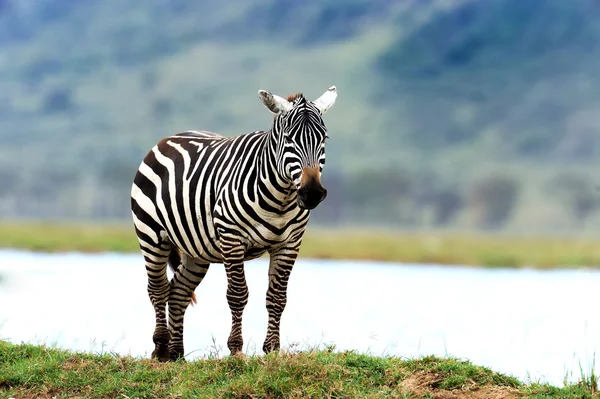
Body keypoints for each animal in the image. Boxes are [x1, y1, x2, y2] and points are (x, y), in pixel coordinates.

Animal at [132, 86, 338, 360]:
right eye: (289, 139)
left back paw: (177, 354)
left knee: (178, 292)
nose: (312, 193)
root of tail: (168, 138)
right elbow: (238, 295)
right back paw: (160, 348)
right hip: (152, 235)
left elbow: (277, 298)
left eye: (324, 138)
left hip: (196, 249)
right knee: (158, 289)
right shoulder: (232, 239)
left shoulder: (289, 244)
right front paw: (236, 349)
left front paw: (272, 349)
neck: (281, 198)